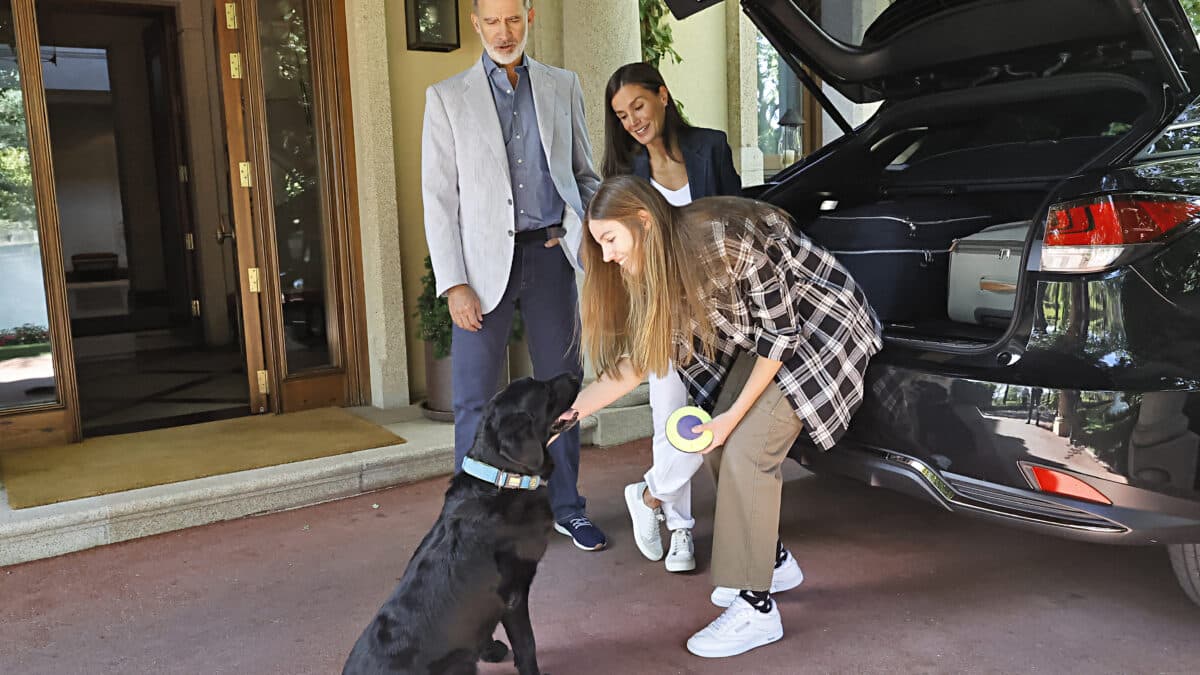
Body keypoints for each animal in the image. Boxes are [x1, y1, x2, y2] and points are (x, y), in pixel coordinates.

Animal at [343, 372, 580, 672]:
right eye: (546, 392)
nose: (575, 374)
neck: (502, 479)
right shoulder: (513, 596)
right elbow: (527, 644)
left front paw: (489, 650)